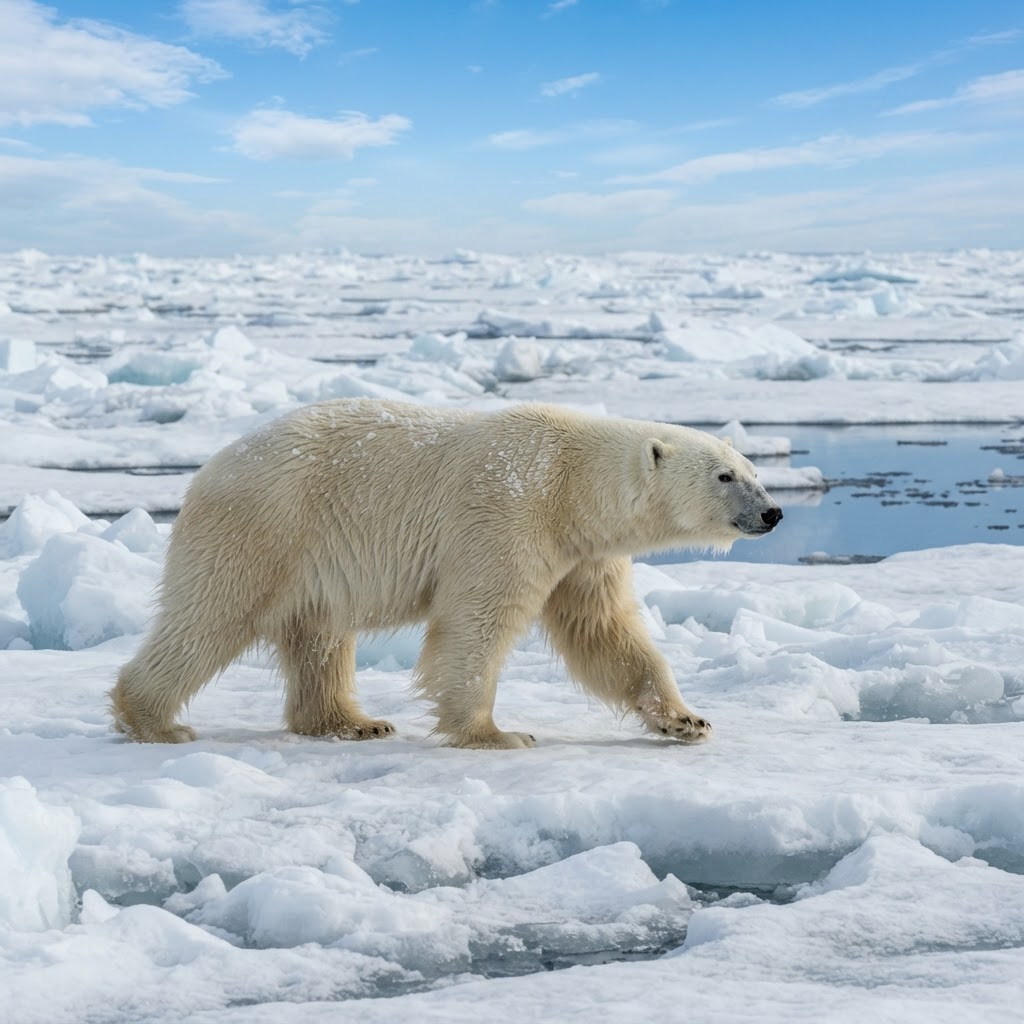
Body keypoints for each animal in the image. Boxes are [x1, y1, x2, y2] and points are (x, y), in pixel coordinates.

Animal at [111, 399, 782, 749]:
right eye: (725, 475)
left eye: (755, 470)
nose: (773, 512)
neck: (569, 482)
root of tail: (207, 471)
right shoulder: (508, 514)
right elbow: (476, 623)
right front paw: (496, 734)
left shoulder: (583, 554)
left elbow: (604, 633)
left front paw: (687, 719)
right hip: (266, 527)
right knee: (211, 616)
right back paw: (153, 721)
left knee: (319, 636)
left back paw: (354, 722)